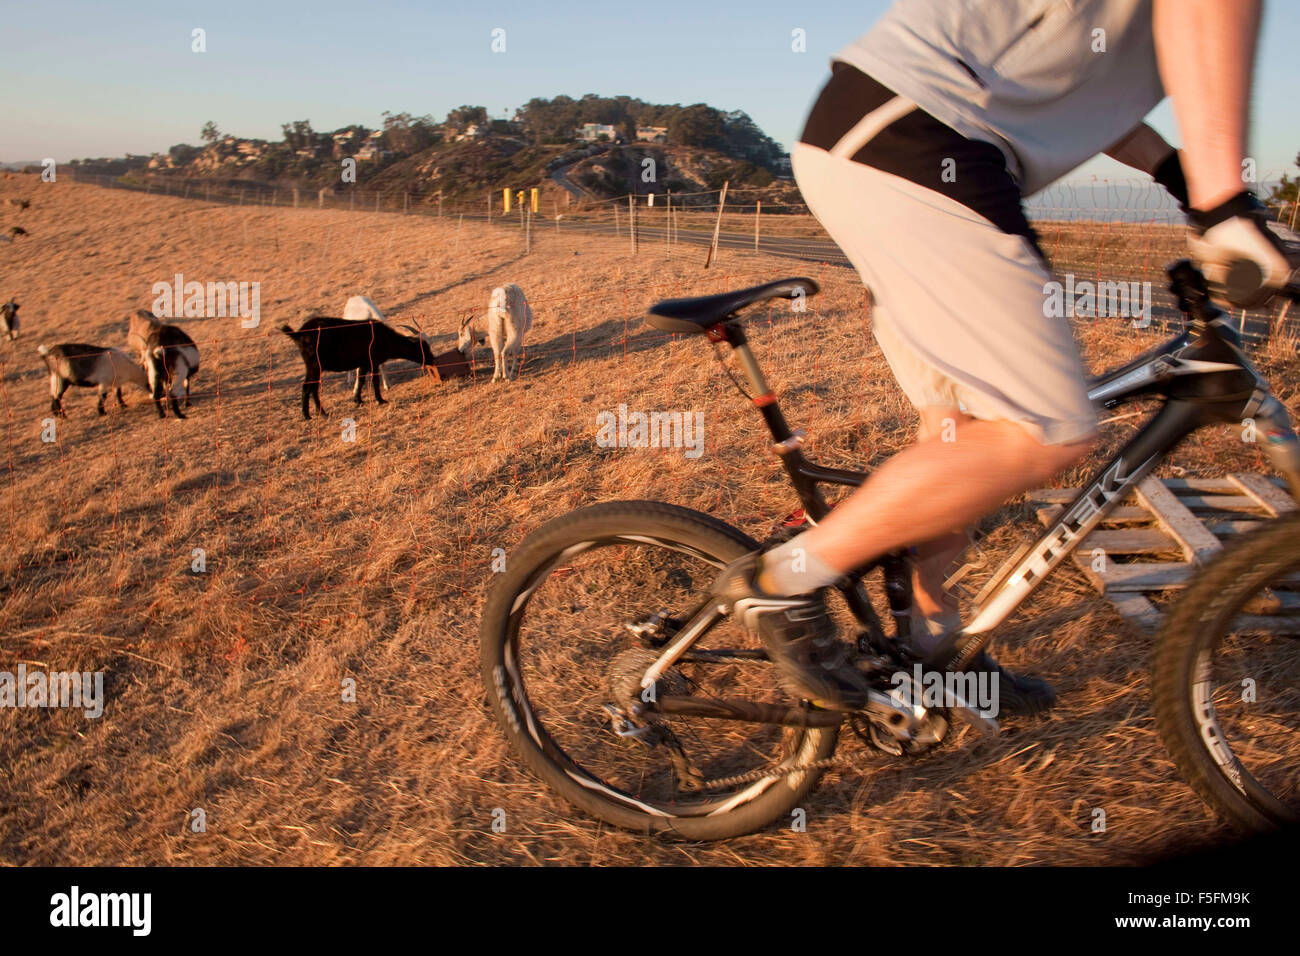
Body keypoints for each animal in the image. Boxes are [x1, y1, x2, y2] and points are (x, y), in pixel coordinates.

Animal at [279, 317, 436, 418]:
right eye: (423, 348)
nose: (432, 360)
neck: (386, 338)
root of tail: (298, 333)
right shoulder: (373, 361)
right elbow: (374, 380)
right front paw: (381, 400)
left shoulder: (363, 363)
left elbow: (360, 380)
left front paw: (358, 400)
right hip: (314, 365)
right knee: (309, 387)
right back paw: (314, 414)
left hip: (314, 366)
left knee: (311, 387)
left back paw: (315, 413)